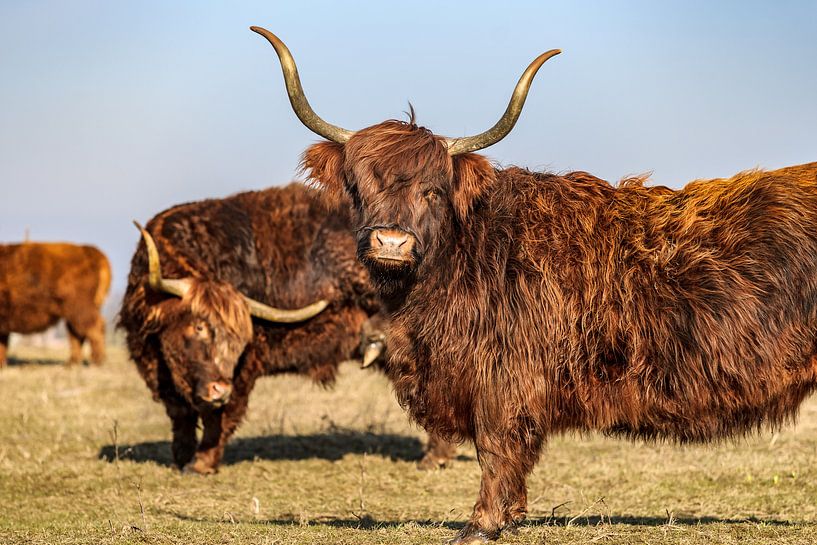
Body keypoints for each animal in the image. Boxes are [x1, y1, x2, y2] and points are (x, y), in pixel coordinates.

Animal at [118, 183, 456, 472]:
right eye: (199, 327)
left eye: (240, 341)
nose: (219, 389)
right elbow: (181, 414)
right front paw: (181, 457)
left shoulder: (244, 368)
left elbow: (219, 418)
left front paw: (200, 464)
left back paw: (434, 458)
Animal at [252, 26, 816, 544]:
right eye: (358, 186)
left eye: (434, 190)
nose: (392, 242)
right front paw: (511, 516)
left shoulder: (501, 377)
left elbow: (496, 447)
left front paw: (481, 525)